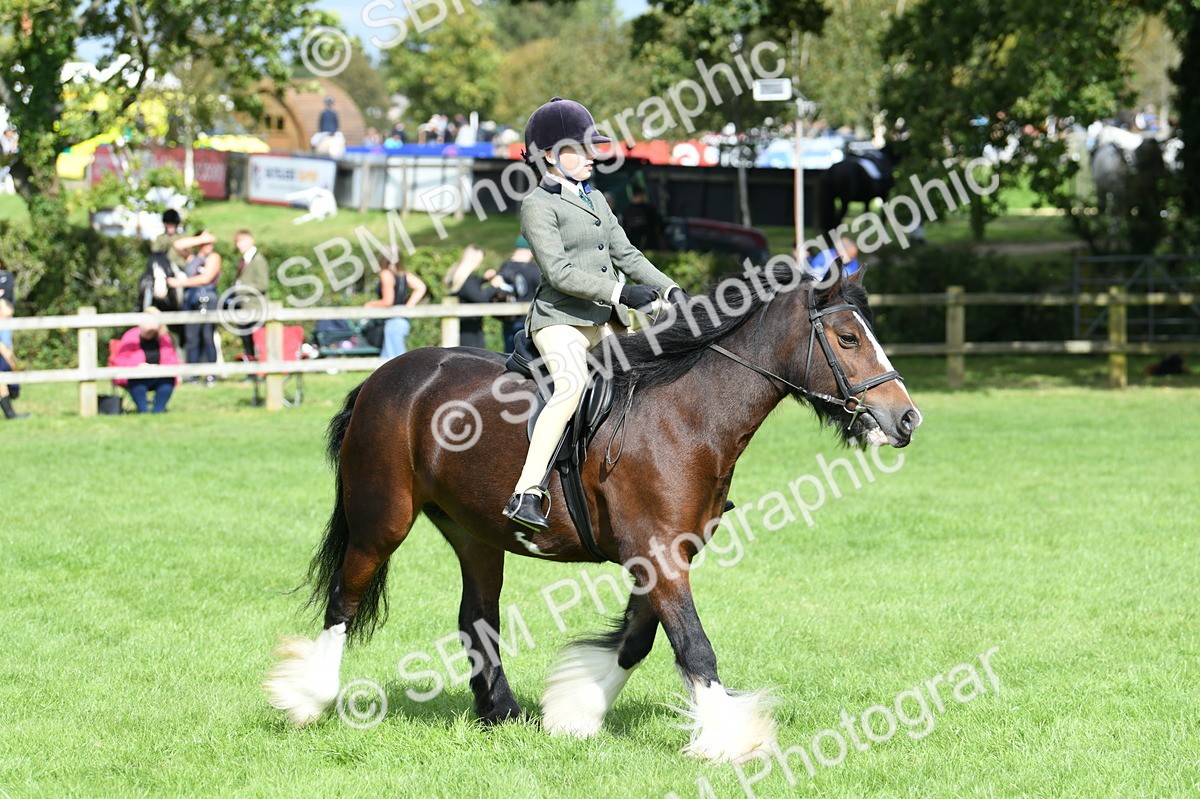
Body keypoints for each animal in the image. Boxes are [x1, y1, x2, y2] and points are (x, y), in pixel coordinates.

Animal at [263, 264, 923, 762]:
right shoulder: (657, 554)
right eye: (847, 339)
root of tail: (383, 377)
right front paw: (731, 740)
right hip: (382, 522)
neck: (686, 414)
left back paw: (502, 713)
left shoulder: (664, 555)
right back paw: (309, 698)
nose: (907, 419)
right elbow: (694, 647)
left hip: (477, 534)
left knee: (476, 617)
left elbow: (637, 641)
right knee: (345, 599)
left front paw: (575, 710)